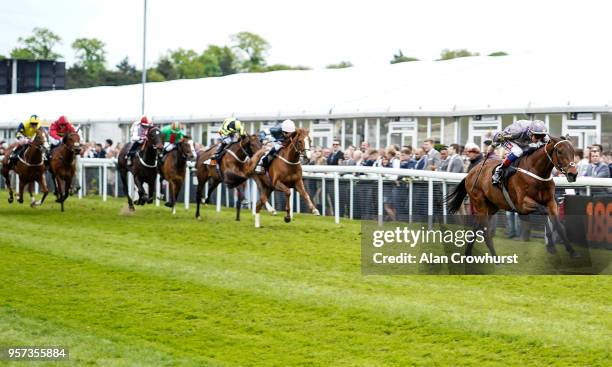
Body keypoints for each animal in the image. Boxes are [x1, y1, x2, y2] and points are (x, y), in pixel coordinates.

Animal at [444, 135, 580, 258]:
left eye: (573, 151)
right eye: (560, 151)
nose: (573, 174)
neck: (536, 172)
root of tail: (470, 173)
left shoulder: (551, 201)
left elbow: (559, 225)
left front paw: (571, 250)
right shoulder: (522, 205)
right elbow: (543, 211)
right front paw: (551, 245)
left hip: (492, 207)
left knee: (476, 228)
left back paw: (468, 254)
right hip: (480, 203)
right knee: (485, 232)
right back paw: (495, 258)